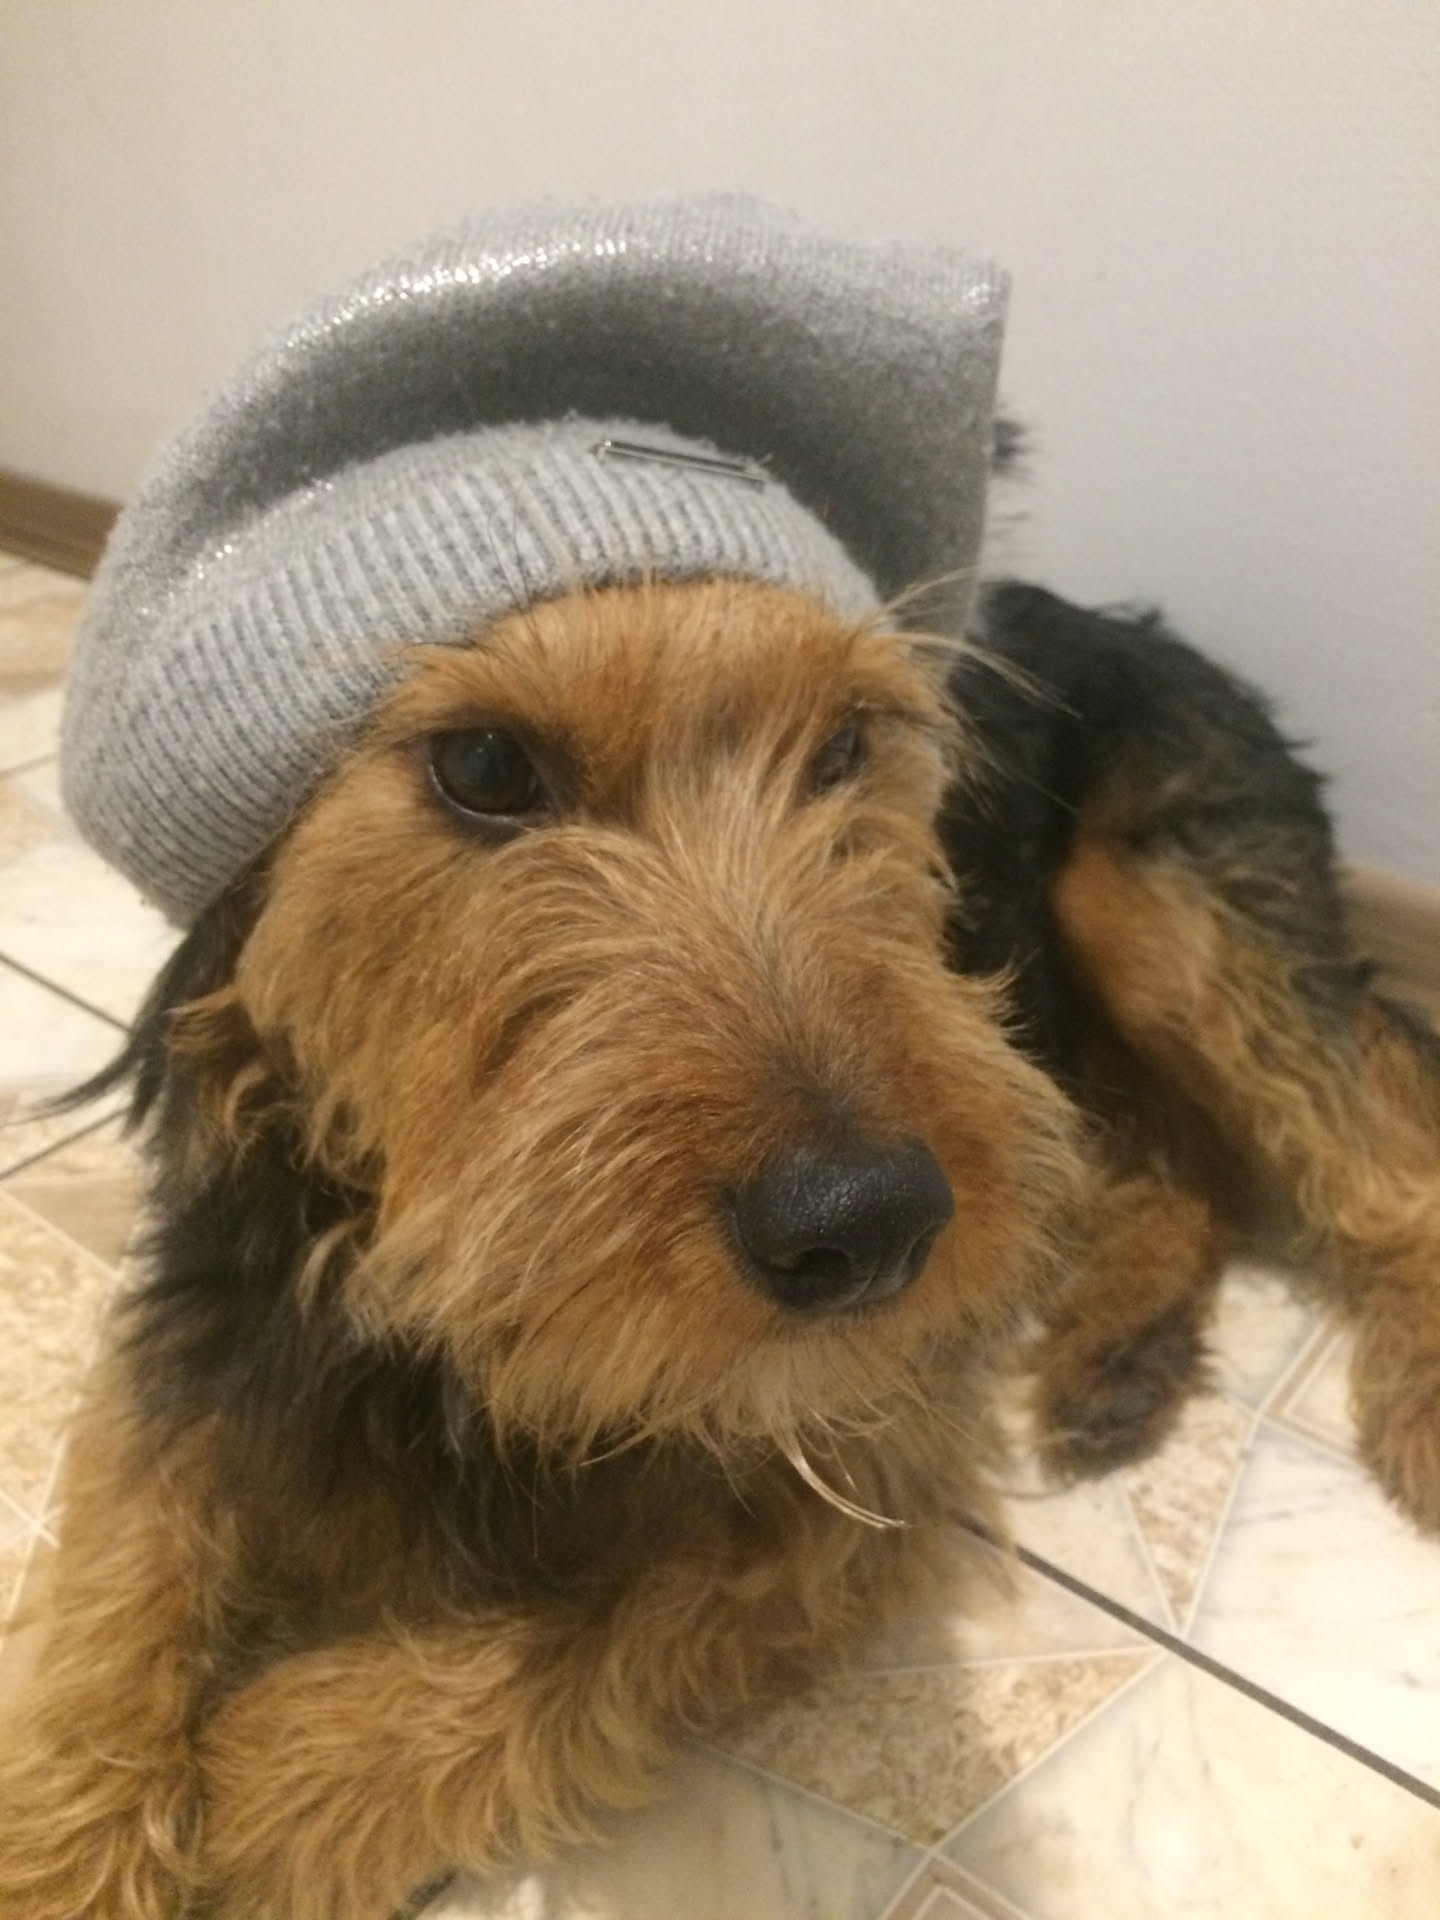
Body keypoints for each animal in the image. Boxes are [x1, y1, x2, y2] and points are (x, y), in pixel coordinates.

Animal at [1, 566, 1438, 1919]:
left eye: (848, 745)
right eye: (484, 767)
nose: (870, 1225)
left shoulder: (863, 1457)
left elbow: (601, 1623)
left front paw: (265, 1790)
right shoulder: (202, 1325)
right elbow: (109, 1605)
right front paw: (70, 1854)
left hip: (1163, 908)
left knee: (1376, 1149)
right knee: (1172, 1149)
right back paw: (1118, 1346)